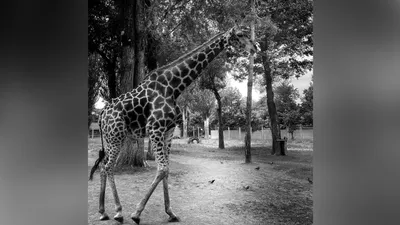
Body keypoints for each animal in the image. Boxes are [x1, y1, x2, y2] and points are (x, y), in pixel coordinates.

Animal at [89, 24, 260, 223]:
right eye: (240, 35)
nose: (255, 47)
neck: (174, 87)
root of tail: (101, 114)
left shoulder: (169, 130)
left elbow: (167, 169)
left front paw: (170, 212)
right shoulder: (155, 128)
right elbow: (162, 169)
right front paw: (137, 213)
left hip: (112, 138)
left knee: (103, 166)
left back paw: (103, 211)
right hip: (116, 136)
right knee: (108, 166)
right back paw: (118, 211)